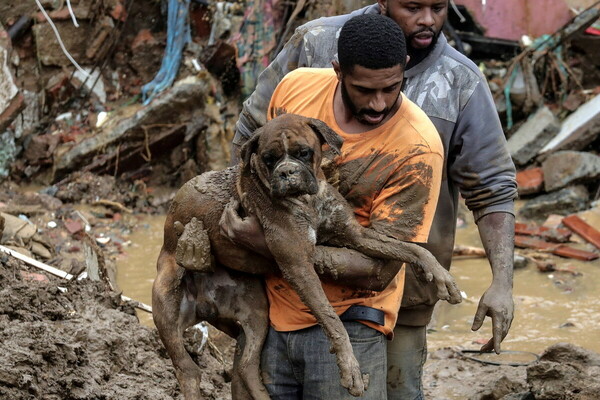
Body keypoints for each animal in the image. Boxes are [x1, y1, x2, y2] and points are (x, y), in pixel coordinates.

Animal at [152, 113, 462, 400]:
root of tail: (206, 303)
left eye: (303, 152)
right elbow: (331, 318)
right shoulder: (298, 264)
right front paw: (350, 369)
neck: (308, 201)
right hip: (165, 302)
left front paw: (441, 276)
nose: (287, 172)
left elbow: (410, 248)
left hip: (257, 315)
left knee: (247, 368)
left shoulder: (357, 235)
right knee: (188, 370)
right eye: (269, 159)